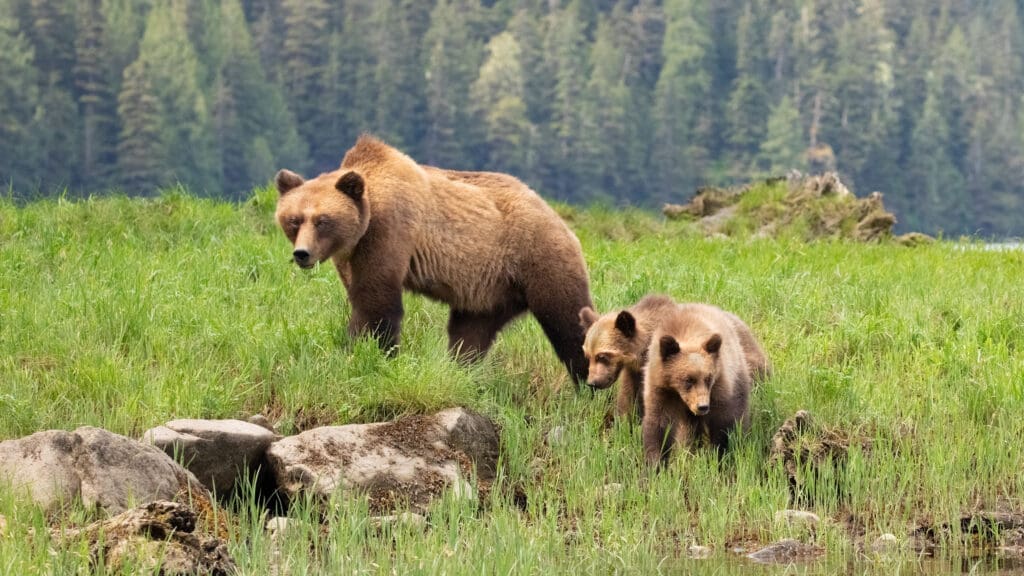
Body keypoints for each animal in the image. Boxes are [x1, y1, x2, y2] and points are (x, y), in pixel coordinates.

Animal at [274, 135, 593, 381]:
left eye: (322, 220)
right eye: (294, 219)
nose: (302, 254)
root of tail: (558, 218)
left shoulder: (389, 232)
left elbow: (376, 301)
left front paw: (367, 352)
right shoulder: (350, 255)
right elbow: (359, 294)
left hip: (538, 257)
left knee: (568, 321)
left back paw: (587, 382)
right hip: (488, 289)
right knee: (470, 332)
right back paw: (462, 370)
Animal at [638, 303, 770, 463]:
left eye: (708, 378)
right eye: (688, 379)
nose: (702, 406)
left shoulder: (719, 389)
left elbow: (724, 424)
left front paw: (720, 456)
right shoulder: (661, 389)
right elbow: (659, 425)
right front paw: (655, 462)